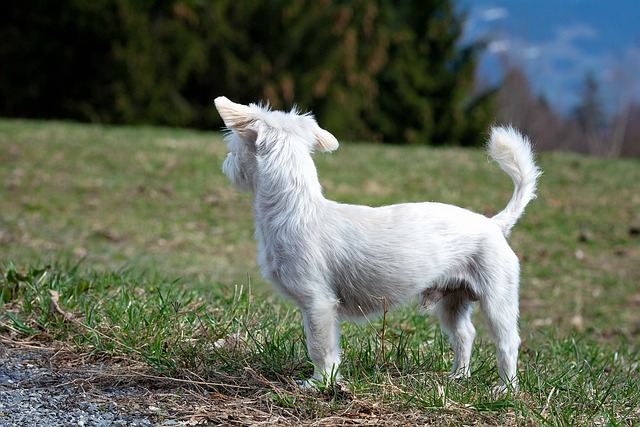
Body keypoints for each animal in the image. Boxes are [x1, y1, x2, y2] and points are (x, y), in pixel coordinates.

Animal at [215, 97, 540, 392]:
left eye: (232, 146)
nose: (225, 164)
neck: (296, 208)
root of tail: (495, 224)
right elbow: (329, 348)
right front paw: (328, 381)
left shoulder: (317, 303)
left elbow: (320, 348)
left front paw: (320, 384)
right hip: (453, 300)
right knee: (465, 335)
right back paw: (457, 378)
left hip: (497, 299)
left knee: (507, 341)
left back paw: (506, 388)